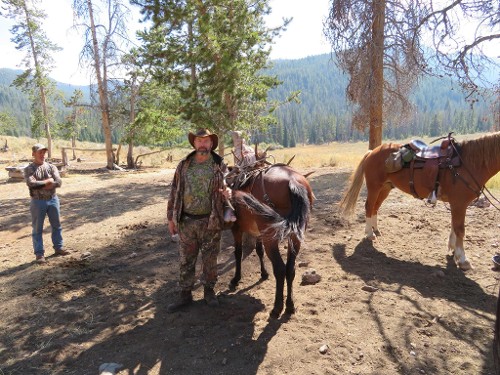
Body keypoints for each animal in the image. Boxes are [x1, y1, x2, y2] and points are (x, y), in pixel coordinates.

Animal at [229, 165, 314, 320]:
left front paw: (236, 279)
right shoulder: (258, 234)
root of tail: (292, 181)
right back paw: (290, 306)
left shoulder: (236, 228)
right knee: (290, 269)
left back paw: (277, 308)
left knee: (280, 269)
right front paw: (264, 273)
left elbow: (238, 253)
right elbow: (259, 251)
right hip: (295, 236)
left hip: (271, 238)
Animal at [340, 132, 500, 270]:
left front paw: (453, 249)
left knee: (375, 207)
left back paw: (376, 230)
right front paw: (462, 260)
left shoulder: (456, 205)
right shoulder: (459, 203)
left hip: (385, 188)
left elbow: (454, 226)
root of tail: (372, 151)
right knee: (369, 206)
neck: (467, 163)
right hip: (374, 187)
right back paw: (369, 233)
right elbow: (460, 229)